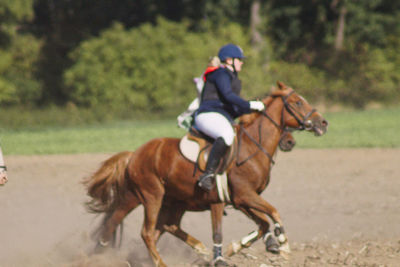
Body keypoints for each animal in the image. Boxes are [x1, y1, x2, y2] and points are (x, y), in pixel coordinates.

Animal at [85, 82, 328, 267]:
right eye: (297, 102)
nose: (323, 123)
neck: (253, 147)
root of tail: (134, 154)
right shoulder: (236, 198)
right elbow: (268, 214)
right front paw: (283, 242)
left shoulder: (242, 200)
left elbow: (263, 223)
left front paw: (243, 247)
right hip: (149, 196)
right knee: (140, 230)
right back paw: (152, 261)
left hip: (172, 201)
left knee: (162, 227)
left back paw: (197, 249)